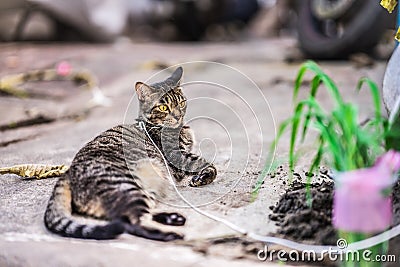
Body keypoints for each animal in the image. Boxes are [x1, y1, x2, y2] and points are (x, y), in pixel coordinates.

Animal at [44, 66, 217, 241]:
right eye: (163, 108)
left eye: (181, 102)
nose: (178, 116)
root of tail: (67, 173)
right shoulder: (177, 156)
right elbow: (206, 163)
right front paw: (203, 176)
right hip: (127, 185)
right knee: (134, 222)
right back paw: (172, 234)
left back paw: (173, 218)